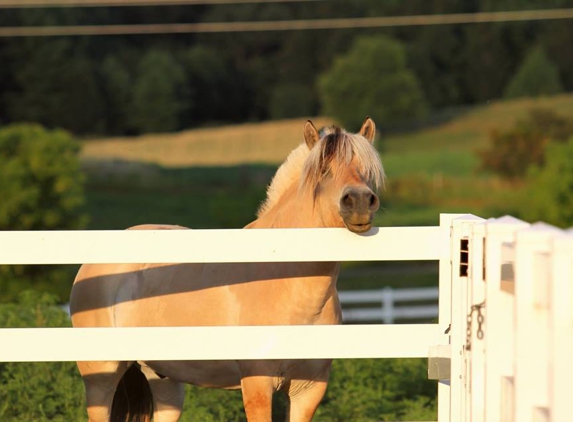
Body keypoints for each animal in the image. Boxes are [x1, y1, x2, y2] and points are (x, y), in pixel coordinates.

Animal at [70, 116, 384, 422]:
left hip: (164, 382)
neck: (287, 284)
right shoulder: (257, 385)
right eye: (323, 171)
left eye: (367, 171)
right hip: (101, 376)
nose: (359, 201)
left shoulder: (309, 391)